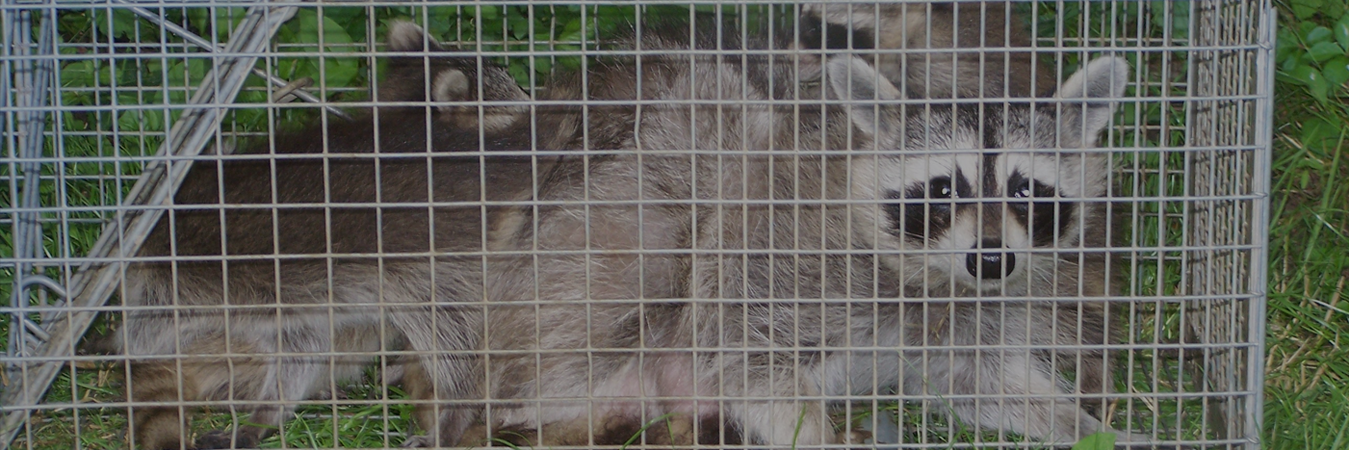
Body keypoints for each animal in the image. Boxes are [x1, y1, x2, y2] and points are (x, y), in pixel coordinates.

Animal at [394, 21, 1144, 448]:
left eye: (1025, 190)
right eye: (941, 190)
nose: (991, 258)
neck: (926, 275)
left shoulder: (970, 311)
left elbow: (986, 384)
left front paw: (1091, 426)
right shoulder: (785, 251)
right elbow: (749, 359)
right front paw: (816, 437)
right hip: (608, 218)